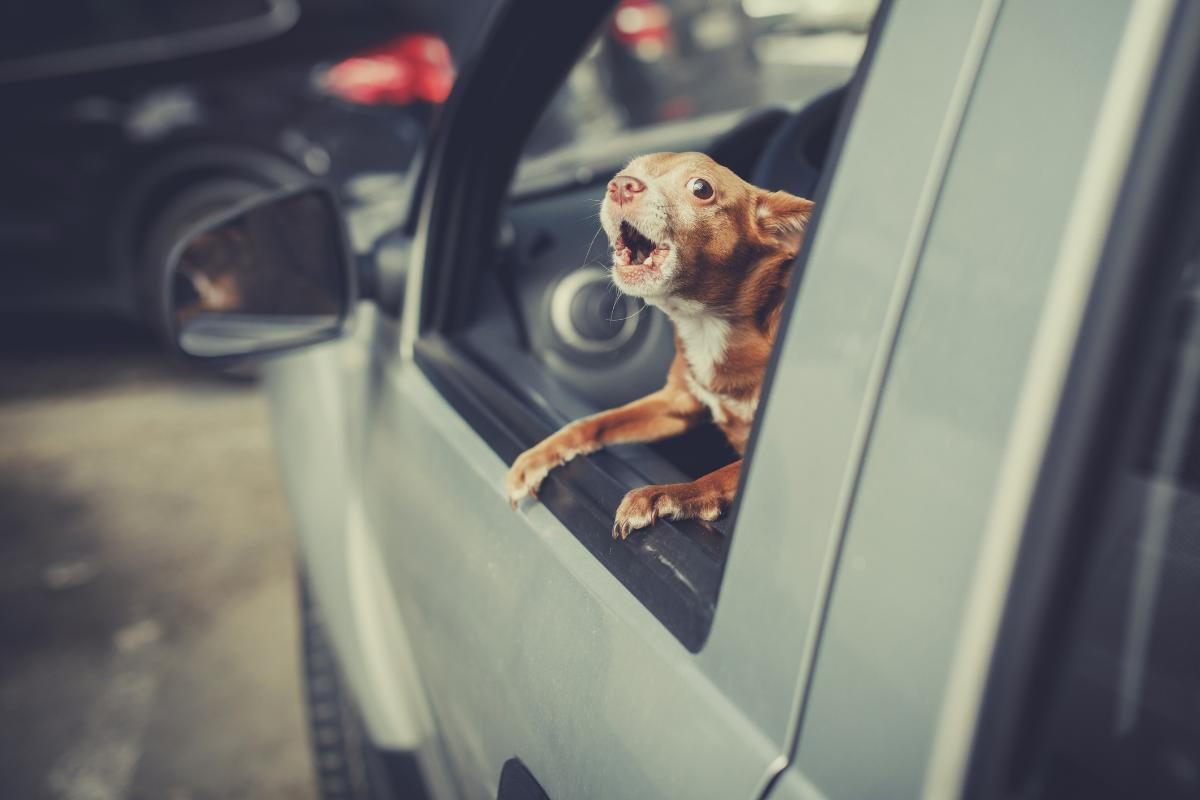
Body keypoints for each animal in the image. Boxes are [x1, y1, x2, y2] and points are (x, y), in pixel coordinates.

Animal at [506, 151, 816, 537]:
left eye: (701, 188)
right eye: (628, 171)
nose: (620, 184)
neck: (707, 324)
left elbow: (722, 475)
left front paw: (666, 494)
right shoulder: (675, 404)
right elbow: (596, 421)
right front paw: (539, 455)